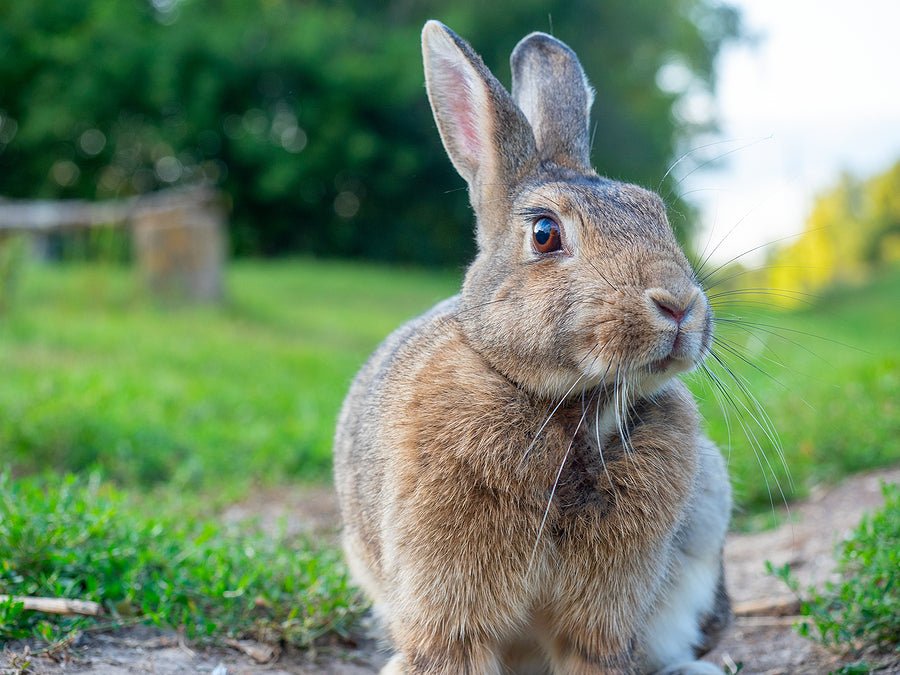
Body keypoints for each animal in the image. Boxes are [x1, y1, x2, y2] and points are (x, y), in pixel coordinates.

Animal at [333, 19, 732, 675]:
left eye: (657, 216)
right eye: (545, 233)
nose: (678, 305)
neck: (572, 407)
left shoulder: (602, 618)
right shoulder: (449, 604)